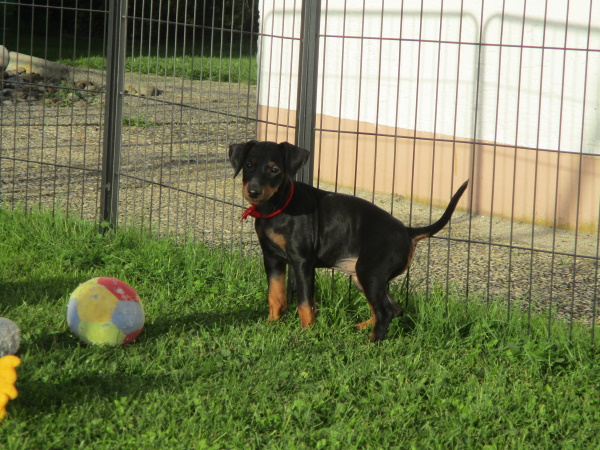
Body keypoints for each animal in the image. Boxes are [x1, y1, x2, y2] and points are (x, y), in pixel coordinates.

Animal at [229, 140, 468, 341]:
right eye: (248, 165)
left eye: (275, 170)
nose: (253, 191)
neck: (276, 207)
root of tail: (407, 232)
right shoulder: (272, 258)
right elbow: (275, 296)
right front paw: (272, 325)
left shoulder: (302, 261)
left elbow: (305, 302)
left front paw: (306, 333)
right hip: (363, 277)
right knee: (393, 309)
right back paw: (359, 328)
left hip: (369, 272)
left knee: (385, 311)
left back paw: (372, 344)